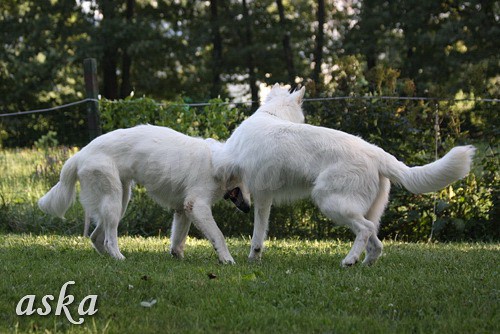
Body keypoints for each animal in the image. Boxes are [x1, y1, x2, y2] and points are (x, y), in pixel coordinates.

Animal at [38, 124, 250, 264]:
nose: (249, 208)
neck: (216, 161)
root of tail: (79, 154)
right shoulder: (196, 206)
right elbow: (218, 235)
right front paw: (227, 259)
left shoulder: (182, 209)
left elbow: (178, 238)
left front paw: (177, 256)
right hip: (113, 201)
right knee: (108, 239)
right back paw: (119, 258)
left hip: (120, 201)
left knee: (96, 237)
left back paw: (108, 258)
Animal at [213, 85, 474, 268]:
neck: (271, 114)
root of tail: (377, 153)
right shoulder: (264, 197)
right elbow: (260, 230)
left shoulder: (259, 194)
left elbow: (257, 232)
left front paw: (253, 256)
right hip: (357, 209)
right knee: (376, 241)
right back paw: (365, 263)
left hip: (331, 203)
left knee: (366, 230)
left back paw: (349, 261)